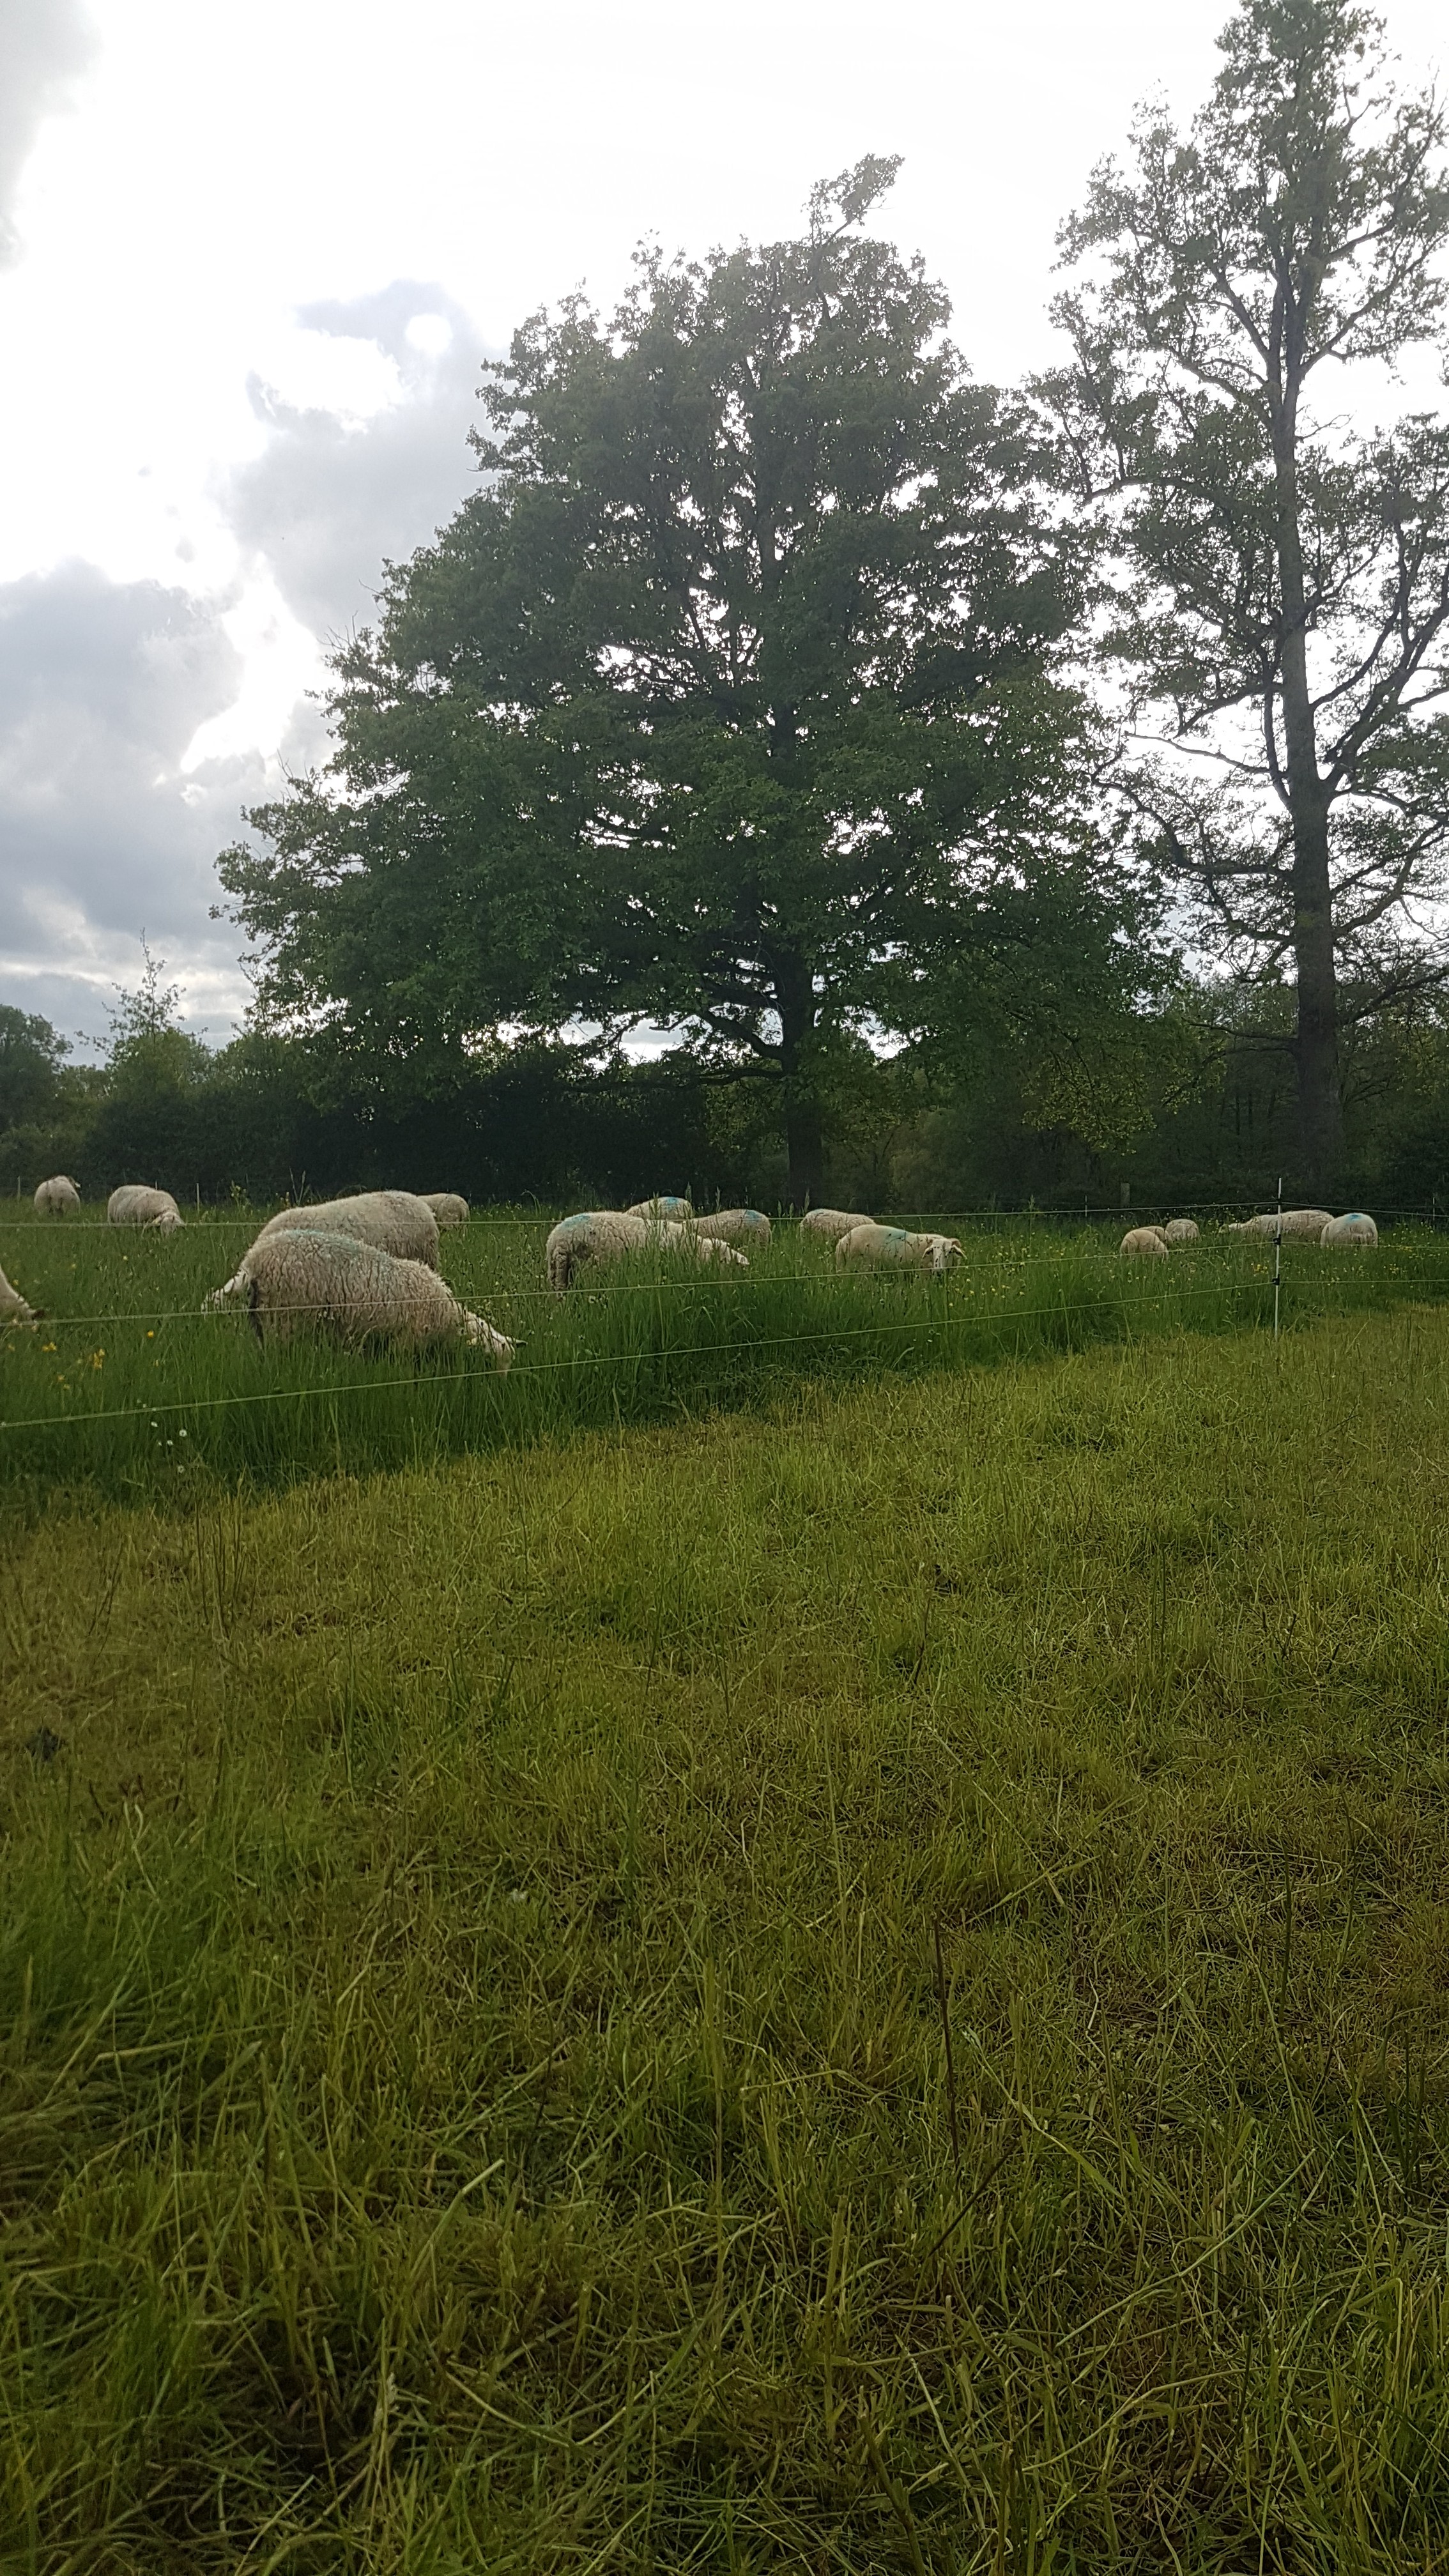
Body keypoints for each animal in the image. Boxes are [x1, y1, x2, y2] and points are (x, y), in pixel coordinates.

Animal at [211, 1231, 508, 1370]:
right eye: (489, 1361)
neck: (448, 1317)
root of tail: (254, 1260)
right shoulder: (405, 1343)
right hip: (284, 1320)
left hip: (262, 1320)